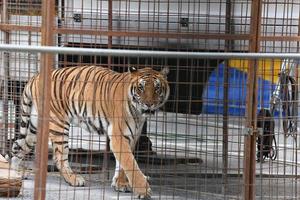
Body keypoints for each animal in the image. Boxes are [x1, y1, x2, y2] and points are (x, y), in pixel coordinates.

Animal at [10, 65, 170, 198]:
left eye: (157, 88)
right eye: (141, 88)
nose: (149, 104)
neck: (138, 113)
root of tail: (35, 77)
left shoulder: (132, 136)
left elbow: (123, 163)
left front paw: (120, 183)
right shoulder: (118, 135)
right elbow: (130, 163)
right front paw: (143, 190)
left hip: (33, 127)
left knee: (17, 146)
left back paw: (15, 174)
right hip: (58, 124)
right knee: (59, 157)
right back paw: (74, 179)